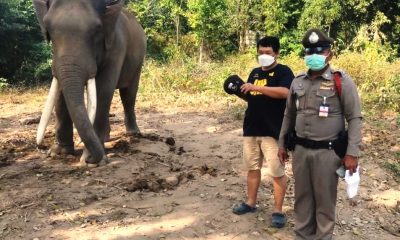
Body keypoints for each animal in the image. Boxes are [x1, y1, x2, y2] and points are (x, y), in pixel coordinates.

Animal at [32, 0, 146, 167]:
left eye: (97, 28)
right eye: (48, 27)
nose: (39, 146)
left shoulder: (116, 46)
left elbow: (104, 89)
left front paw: (91, 159)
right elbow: (59, 90)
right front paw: (58, 153)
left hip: (138, 61)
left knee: (128, 94)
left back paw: (133, 133)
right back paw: (106, 139)